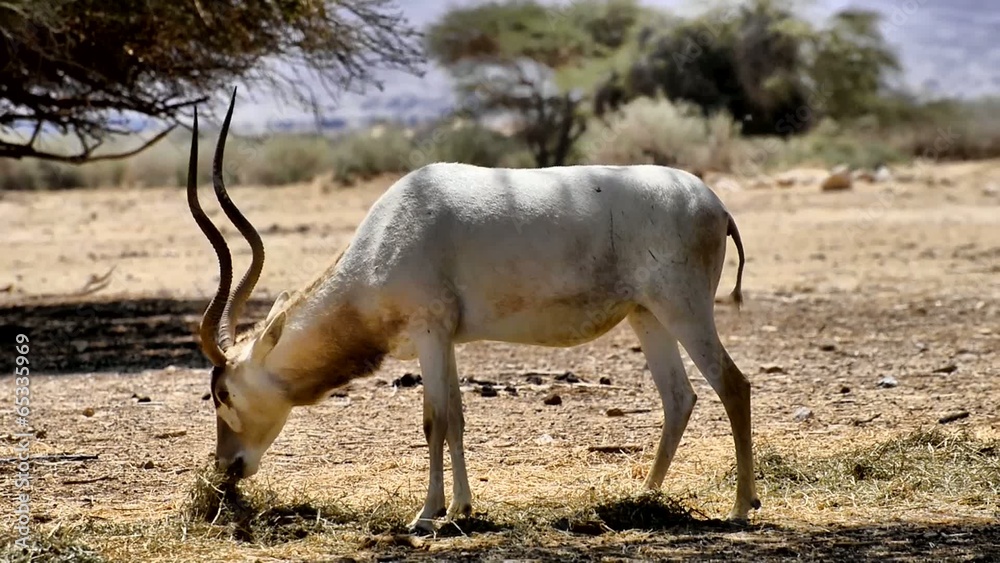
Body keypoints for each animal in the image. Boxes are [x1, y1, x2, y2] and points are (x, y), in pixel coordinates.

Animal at [187, 89, 760, 533]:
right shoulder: (444, 340)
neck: (385, 239)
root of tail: (717, 205)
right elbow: (456, 417)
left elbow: (435, 421)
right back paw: (644, 497)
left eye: (222, 394)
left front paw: (426, 514)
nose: (227, 468)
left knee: (733, 385)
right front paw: (460, 507)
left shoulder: (428, 333)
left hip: (684, 309)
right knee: (679, 397)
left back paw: (740, 507)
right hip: (648, 316)